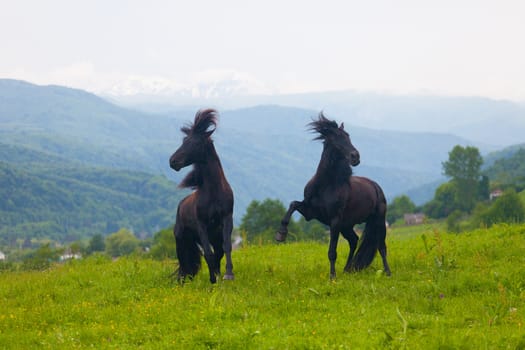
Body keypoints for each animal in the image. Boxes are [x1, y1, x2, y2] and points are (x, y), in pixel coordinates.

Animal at [169, 108, 234, 284]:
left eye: (196, 143)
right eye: (184, 141)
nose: (173, 161)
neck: (214, 193)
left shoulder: (226, 218)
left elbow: (226, 248)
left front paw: (227, 275)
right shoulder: (202, 225)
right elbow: (208, 254)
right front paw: (213, 280)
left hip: (213, 237)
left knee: (217, 252)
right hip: (182, 239)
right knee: (185, 261)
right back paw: (184, 281)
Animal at [274, 112, 388, 278]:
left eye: (348, 136)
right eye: (336, 138)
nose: (355, 157)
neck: (324, 185)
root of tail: (376, 187)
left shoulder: (334, 221)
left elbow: (332, 252)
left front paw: (332, 277)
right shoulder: (310, 212)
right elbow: (293, 204)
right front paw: (280, 235)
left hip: (378, 220)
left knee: (381, 246)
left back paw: (388, 272)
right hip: (347, 225)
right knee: (354, 240)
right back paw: (347, 269)